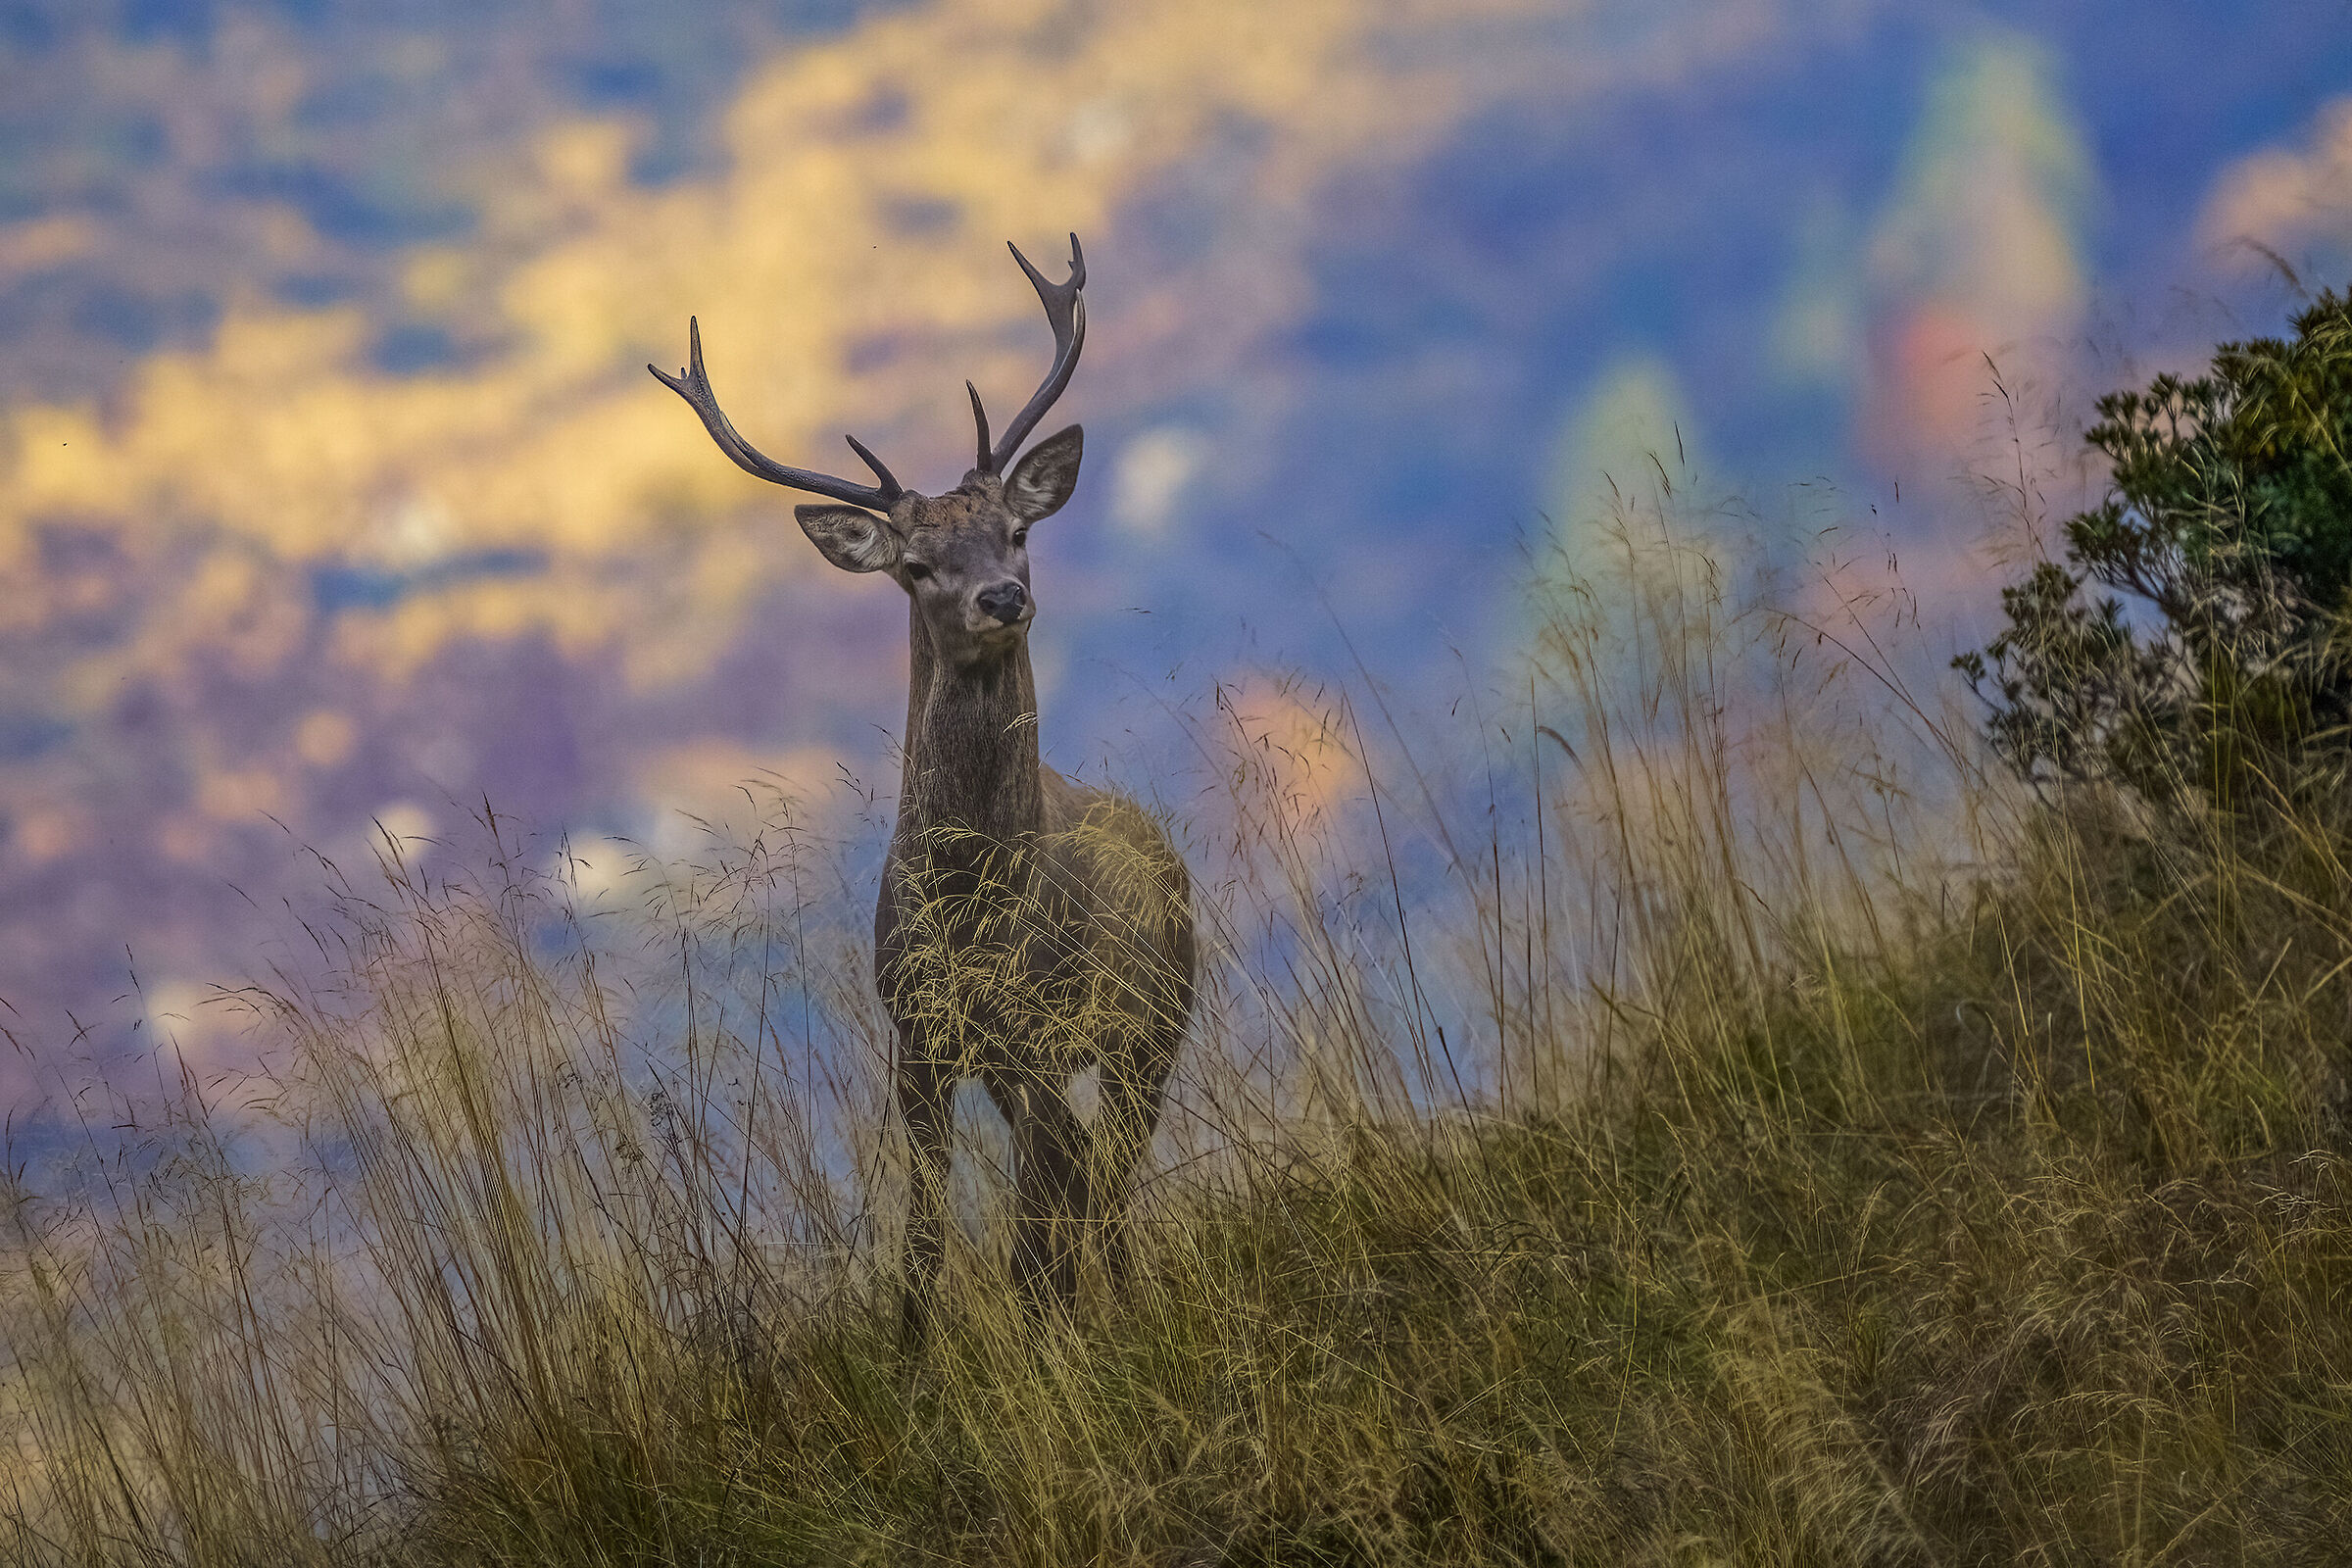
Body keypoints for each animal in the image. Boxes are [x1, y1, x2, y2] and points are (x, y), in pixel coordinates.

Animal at [651, 235, 1196, 1338]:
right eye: (914, 563)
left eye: (1017, 533)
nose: (1003, 596)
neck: (971, 916)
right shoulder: (919, 1040)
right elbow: (922, 1243)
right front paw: (913, 1355)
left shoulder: (1038, 1032)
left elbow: (1034, 1231)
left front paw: (1052, 1340)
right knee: (1091, 1176)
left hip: (1155, 1019)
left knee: (1103, 1179)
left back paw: (1113, 1298)